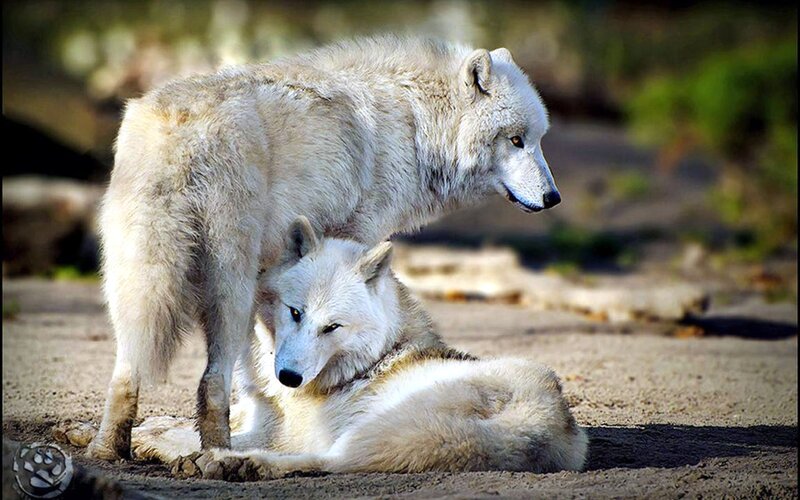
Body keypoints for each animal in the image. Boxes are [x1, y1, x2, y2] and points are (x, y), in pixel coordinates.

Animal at [64, 217, 586, 477]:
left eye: (332, 327)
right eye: (295, 313)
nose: (289, 377)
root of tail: (544, 423)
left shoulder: (277, 431)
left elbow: (182, 435)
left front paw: (160, 446)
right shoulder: (252, 412)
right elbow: (170, 421)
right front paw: (85, 430)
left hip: (369, 432)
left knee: (328, 463)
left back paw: (234, 465)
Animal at [91, 35, 561, 461]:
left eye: (539, 139)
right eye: (516, 140)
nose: (554, 197)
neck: (416, 124)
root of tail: (179, 124)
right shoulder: (356, 238)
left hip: (133, 282)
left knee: (126, 374)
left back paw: (108, 450)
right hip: (229, 286)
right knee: (211, 383)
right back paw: (218, 456)